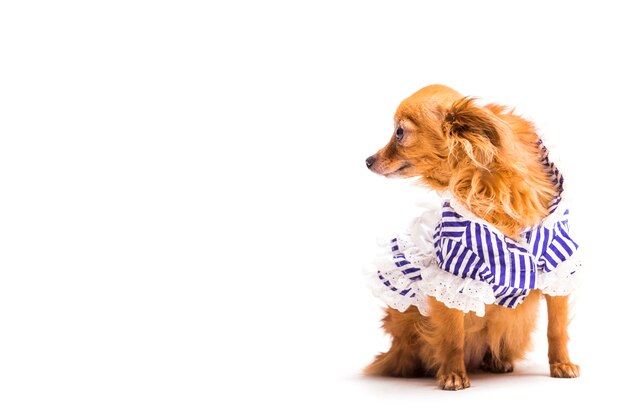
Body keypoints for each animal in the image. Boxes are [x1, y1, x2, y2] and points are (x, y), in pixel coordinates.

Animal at [364, 84, 576, 390]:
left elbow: (556, 328)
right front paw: (453, 374)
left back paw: (497, 361)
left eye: (400, 132)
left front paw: (562, 364)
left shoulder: (558, 267)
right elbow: (453, 335)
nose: (367, 161)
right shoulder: (454, 275)